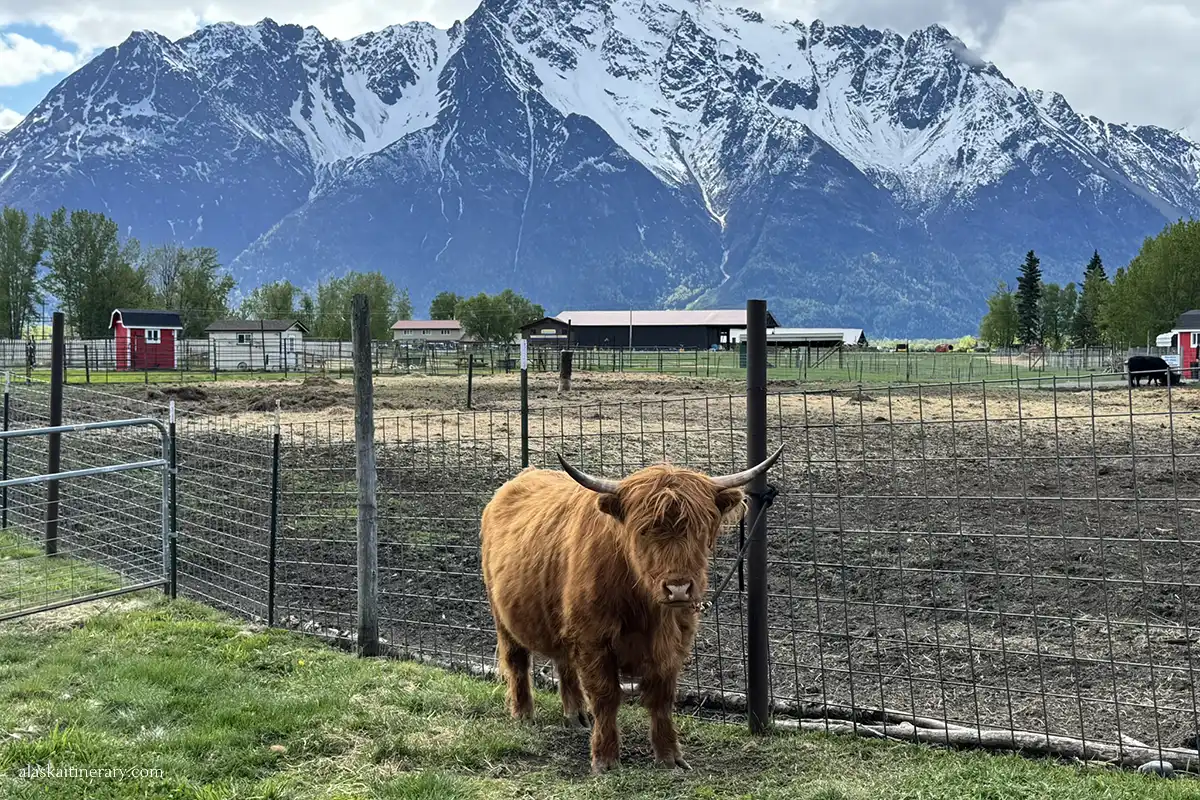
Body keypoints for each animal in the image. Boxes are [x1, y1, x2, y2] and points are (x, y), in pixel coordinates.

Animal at [479, 445, 785, 775]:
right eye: (643, 531)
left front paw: (669, 756)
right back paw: (523, 714)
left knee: (564, 664)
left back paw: (576, 717)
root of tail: (521, 478)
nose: (678, 588)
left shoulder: (673, 643)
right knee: (518, 662)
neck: (646, 609)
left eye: (701, 529)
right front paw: (605, 758)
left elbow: (662, 699)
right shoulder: (593, 640)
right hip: (503, 617)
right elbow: (606, 696)